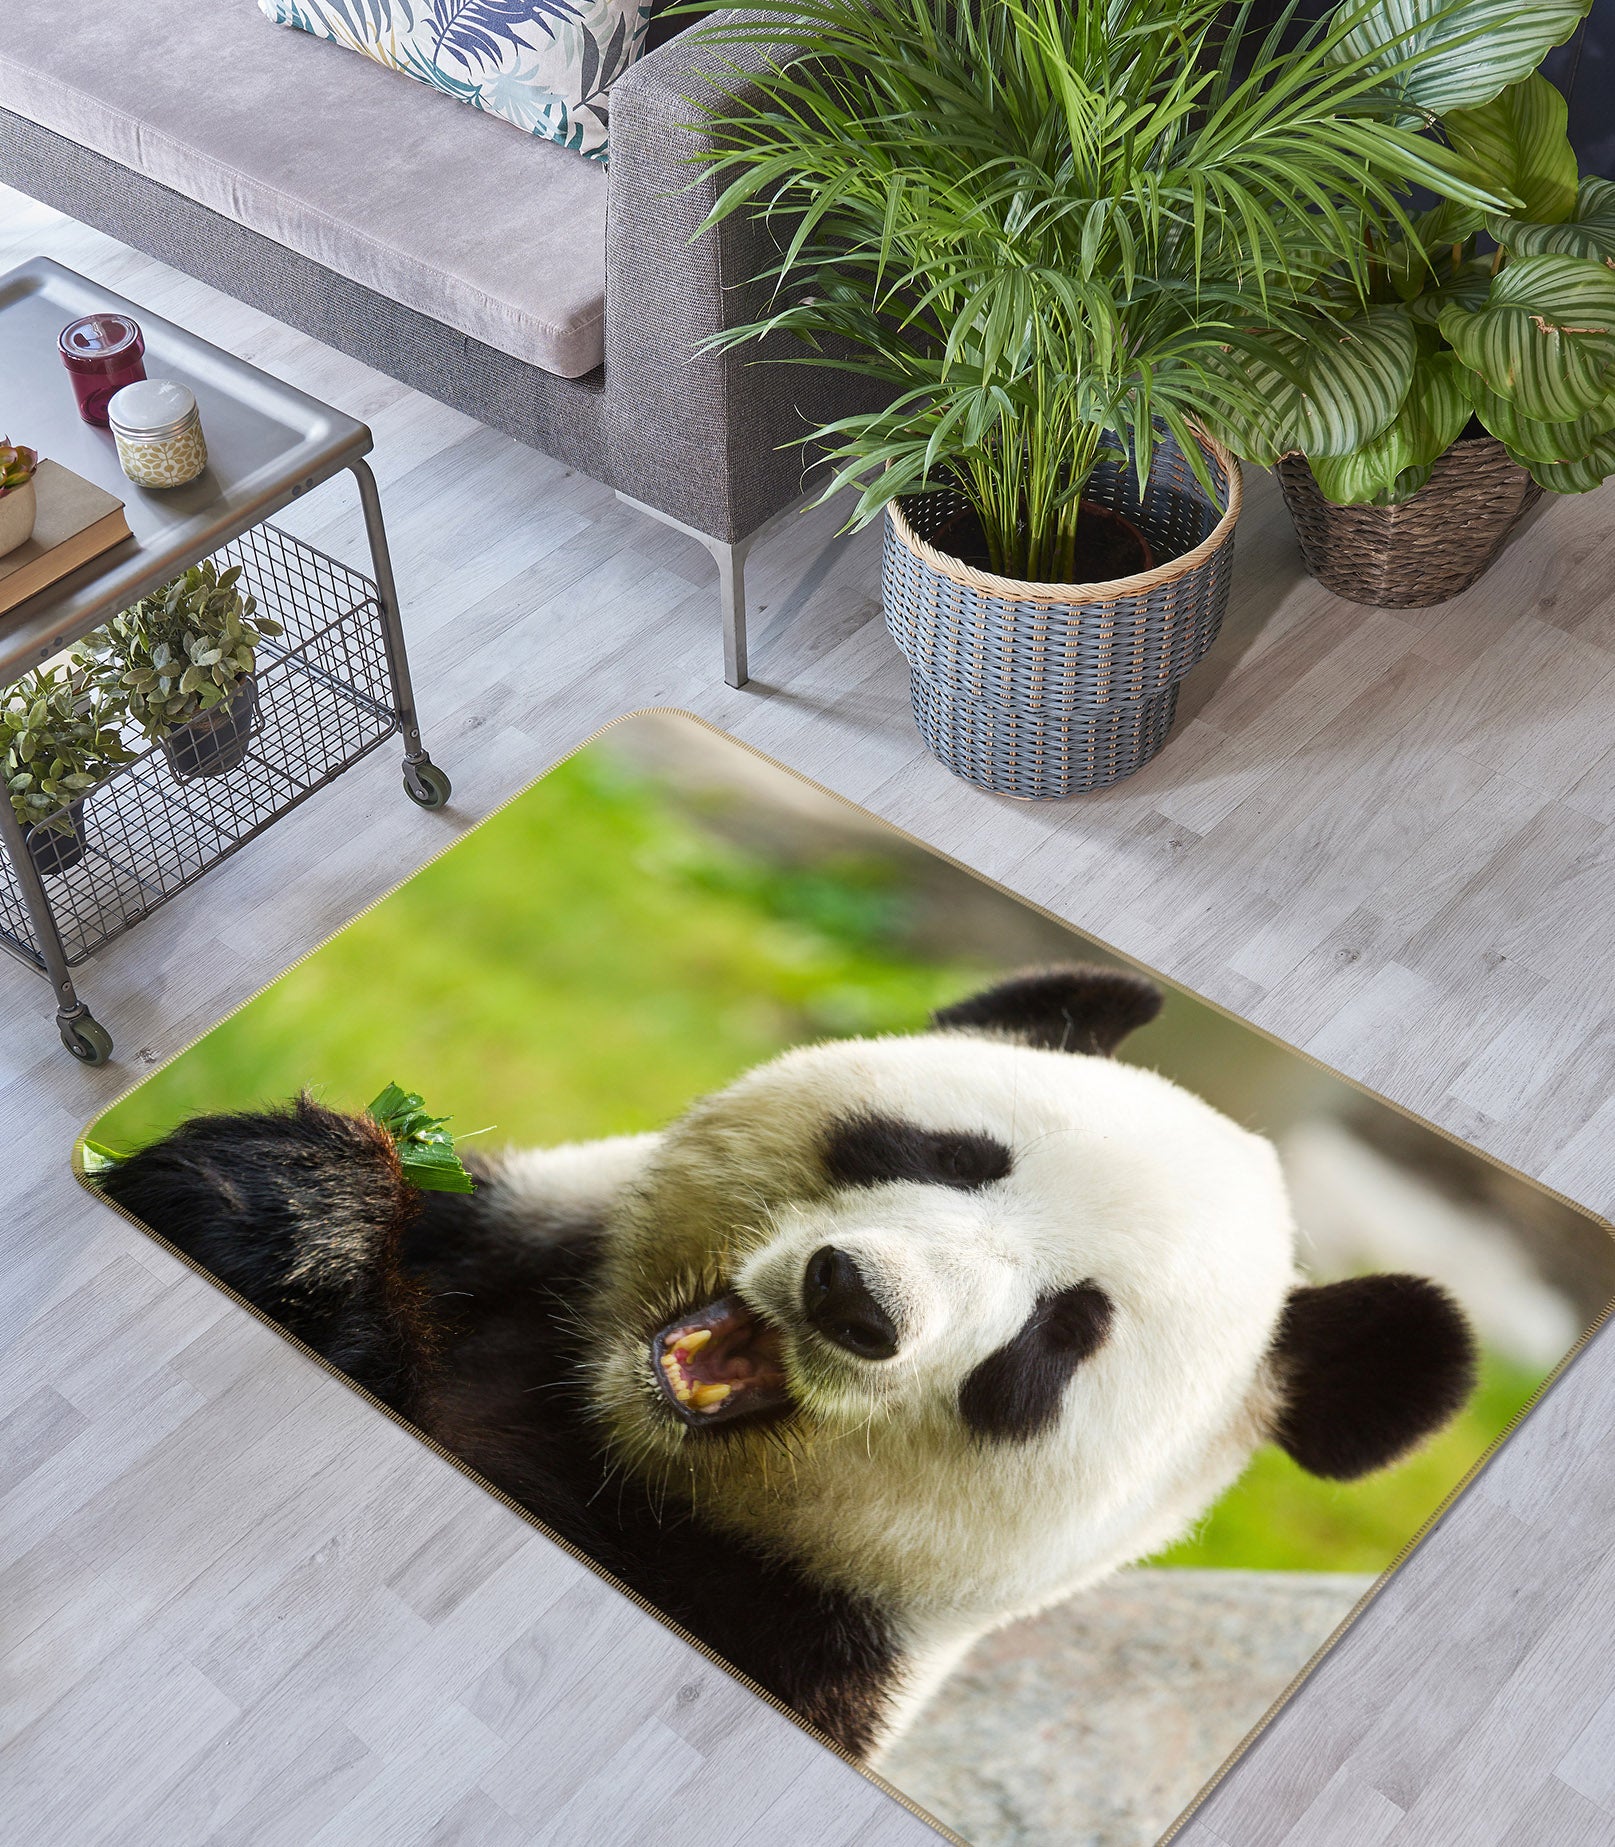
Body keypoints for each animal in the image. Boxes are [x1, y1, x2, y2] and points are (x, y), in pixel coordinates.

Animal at [98, 965, 1476, 1762]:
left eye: (1060, 1335)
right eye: (954, 1153)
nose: (855, 1300)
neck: (610, 1439)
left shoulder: (796, 1636)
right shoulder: (500, 1242)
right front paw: (296, 1202)